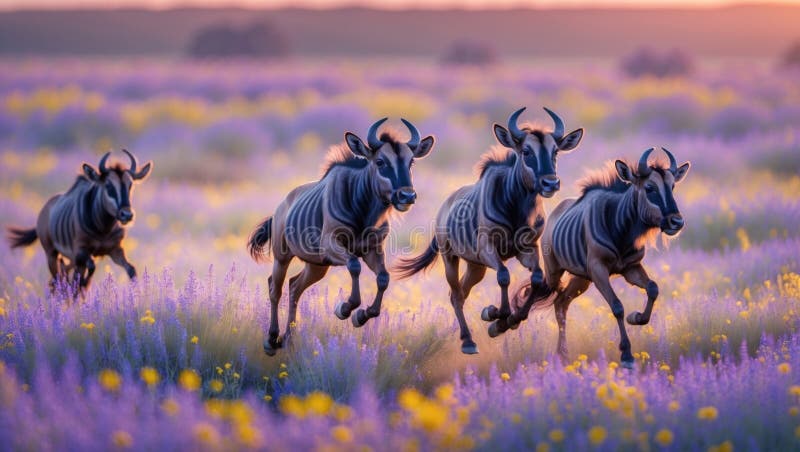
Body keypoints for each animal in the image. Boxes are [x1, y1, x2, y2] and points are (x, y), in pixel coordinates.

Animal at [7, 150, 152, 292]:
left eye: (130, 185)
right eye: (108, 185)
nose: (127, 215)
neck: (102, 228)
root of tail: (44, 209)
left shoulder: (115, 249)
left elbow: (131, 270)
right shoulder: (81, 251)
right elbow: (89, 269)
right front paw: (80, 287)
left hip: (71, 258)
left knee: (62, 273)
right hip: (51, 253)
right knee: (57, 277)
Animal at [248, 118, 435, 356]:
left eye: (411, 163)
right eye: (380, 162)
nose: (407, 196)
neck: (363, 209)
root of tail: (280, 209)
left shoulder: (372, 250)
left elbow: (383, 278)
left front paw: (361, 316)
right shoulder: (332, 244)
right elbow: (354, 266)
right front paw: (345, 308)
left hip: (317, 265)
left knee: (294, 287)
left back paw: (288, 339)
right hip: (282, 258)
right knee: (275, 288)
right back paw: (272, 340)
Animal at [395, 107, 584, 354]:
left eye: (555, 152)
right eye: (526, 151)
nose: (550, 183)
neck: (516, 207)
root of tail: (445, 205)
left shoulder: (527, 249)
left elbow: (536, 279)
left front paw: (512, 319)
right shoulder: (488, 247)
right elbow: (504, 276)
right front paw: (496, 315)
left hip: (476, 267)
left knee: (461, 293)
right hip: (450, 258)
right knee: (456, 295)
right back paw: (468, 342)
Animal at [507, 148, 690, 368]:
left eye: (672, 186)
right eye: (649, 188)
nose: (676, 222)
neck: (620, 227)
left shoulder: (631, 268)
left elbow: (653, 288)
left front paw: (637, 317)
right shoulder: (598, 269)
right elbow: (617, 306)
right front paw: (626, 354)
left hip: (581, 278)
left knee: (561, 303)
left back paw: (563, 354)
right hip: (555, 270)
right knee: (541, 289)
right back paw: (509, 322)